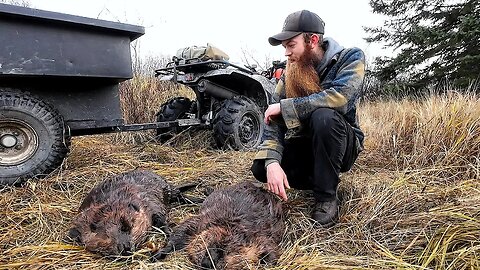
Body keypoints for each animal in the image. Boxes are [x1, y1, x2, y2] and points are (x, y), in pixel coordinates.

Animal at [153, 180, 284, 268]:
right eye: (210, 241)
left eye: (230, 251)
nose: (208, 262)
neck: (233, 226)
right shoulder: (204, 221)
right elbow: (182, 230)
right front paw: (157, 254)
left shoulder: (260, 236)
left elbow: (271, 251)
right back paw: (207, 189)